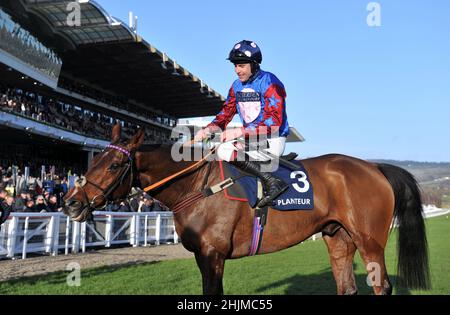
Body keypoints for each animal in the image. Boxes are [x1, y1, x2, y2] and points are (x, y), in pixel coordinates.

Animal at [62, 125, 428, 296]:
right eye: (96, 158)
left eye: (115, 165)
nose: (72, 202)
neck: (197, 185)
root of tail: (374, 167)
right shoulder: (204, 256)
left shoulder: (213, 253)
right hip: (338, 237)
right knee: (346, 286)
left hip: (370, 241)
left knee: (381, 286)